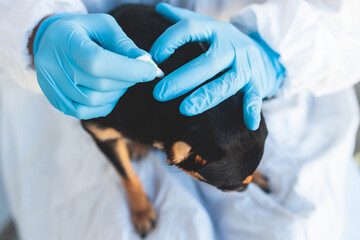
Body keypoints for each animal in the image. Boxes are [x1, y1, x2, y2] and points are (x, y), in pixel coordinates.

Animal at [80, 4, 268, 238]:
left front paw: (258, 174)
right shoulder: (102, 134)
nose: (247, 189)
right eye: (234, 188)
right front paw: (142, 211)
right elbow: (127, 175)